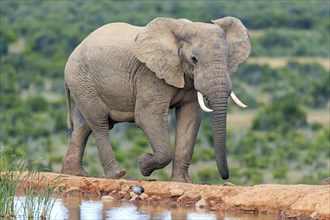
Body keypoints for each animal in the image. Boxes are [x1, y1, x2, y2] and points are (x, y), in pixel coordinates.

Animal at [61, 16, 250, 182]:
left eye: (228, 57)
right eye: (194, 59)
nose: (225, 176)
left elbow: (189, 119)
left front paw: (182, 182)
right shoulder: (150, 74)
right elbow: (147, 116)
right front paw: (144, 164)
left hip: (83, 84)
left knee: (83, 125)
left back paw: (74, 174)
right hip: (82, 79)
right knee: (99, 121)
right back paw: (117, 175)